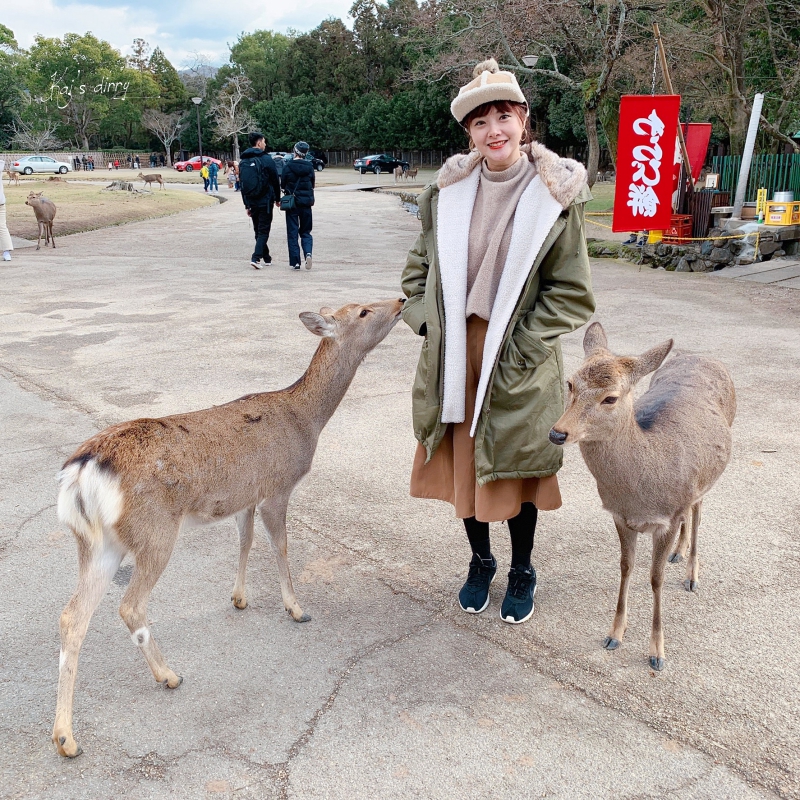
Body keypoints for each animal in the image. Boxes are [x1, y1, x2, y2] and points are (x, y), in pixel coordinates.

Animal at [51, 296, 406, 756]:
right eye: (362, 312)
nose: (400, 300)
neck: (305, 420)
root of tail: (80, 473)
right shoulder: (277, 487)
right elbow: (280, 547)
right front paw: (296, 608)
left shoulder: (244, 497)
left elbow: (245, 541)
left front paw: (239, 598)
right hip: (154, 531)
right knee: (129, 605)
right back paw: (168, 675)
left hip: (96, 543)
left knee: (72, 615)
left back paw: (65, 737)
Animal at [548, 322, 736, 672]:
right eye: (570, 383)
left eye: (610, 398)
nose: (557, 433)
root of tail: (703, 356)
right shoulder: (619, 516)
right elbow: (625, 566)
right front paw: (614, 635)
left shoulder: (666, 519)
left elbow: (655, 579)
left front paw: (657, 653)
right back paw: (679, 551)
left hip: (706, 477)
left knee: (698, 509)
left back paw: (691, 574)